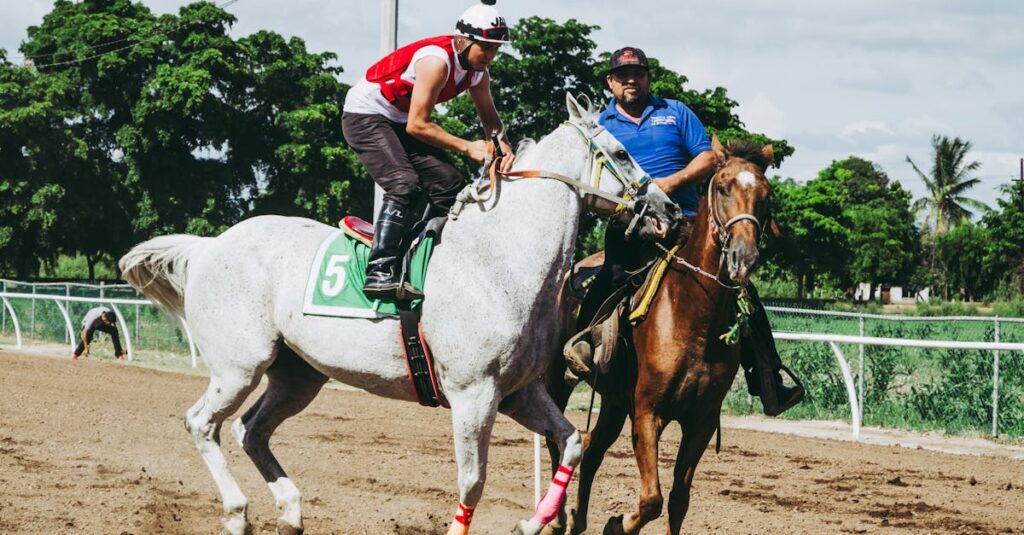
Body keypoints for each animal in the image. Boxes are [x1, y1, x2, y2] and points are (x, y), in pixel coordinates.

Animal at [119, 94, 683, 535]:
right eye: (620, 153)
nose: (671, 212)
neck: (498, 260)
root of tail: (208, 247)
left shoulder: (518, 392)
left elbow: (569, 444)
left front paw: (530, 522)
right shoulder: (473, 395)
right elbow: (472, 482)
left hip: (297, 375)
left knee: (251, 430)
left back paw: (291, 511)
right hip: (239, 366)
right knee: (202, 423)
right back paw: (237, 512)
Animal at [544, 137, 775, 535]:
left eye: (765, 194)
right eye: (722, 186)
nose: (743, 257)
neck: (695, 320)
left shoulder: (700, 421)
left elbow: (678, 501)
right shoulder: (648, 413)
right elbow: (651, 499)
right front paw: (618, 524)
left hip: (614, 401)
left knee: (592, 449)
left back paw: (577, 519)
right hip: (560, 381)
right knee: (557, 441)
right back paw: (556, 519)